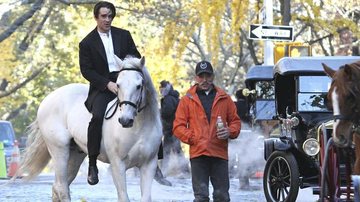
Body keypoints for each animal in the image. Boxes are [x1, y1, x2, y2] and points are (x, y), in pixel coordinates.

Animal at [16, 55, 162, 202]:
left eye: (139, 86)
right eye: (118, 85)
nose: (125, 120)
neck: (138, 128)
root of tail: (47, 99)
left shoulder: (148, 165)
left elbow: (146, 197)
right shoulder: (117, 164)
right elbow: (123, 197)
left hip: (75, 154)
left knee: (57, 186)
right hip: (59, 151)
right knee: (62, 188)